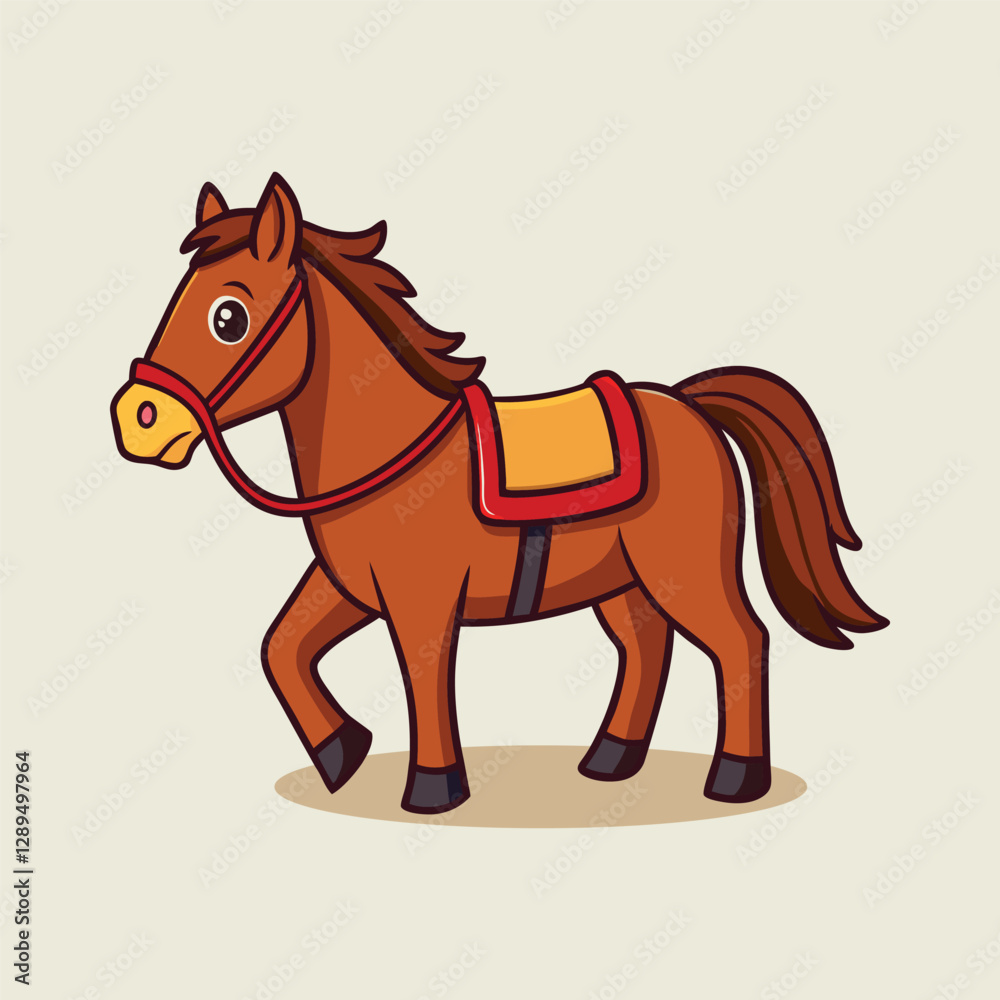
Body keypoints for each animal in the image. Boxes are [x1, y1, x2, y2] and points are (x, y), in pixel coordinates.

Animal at [111, 173, 887, 815]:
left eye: (228, 317)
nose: (139, 419)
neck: (393, 447)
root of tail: (688, 404)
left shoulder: (420, 602)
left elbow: (424, 681)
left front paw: (431, 789)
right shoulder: (346, 585)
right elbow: (282, 648)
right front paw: (343, 751)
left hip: (685, 572)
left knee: (740, 641)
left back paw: (734, 777)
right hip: (621, 582)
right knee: (646, 646)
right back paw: (610, 760)